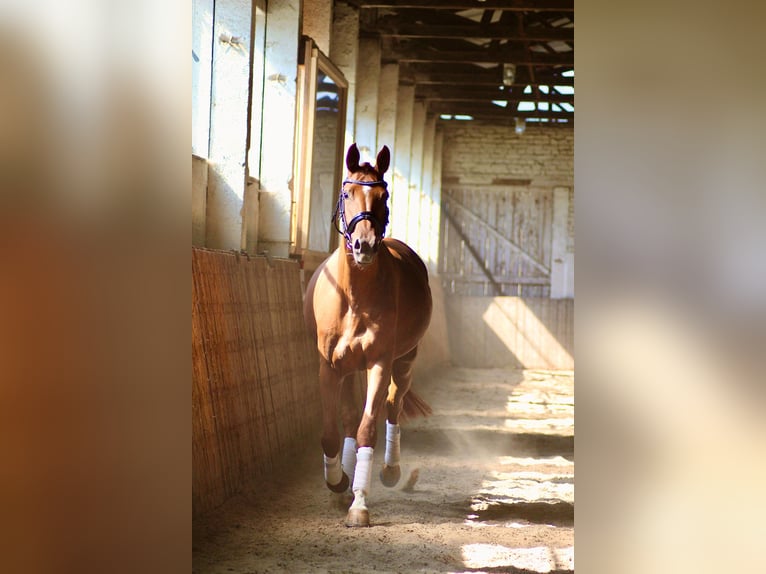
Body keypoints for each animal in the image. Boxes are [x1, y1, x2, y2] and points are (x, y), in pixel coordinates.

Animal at [304, 145, 432, 532]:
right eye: (347, 193)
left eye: (383, 196)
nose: (364, 246)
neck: (355, 296)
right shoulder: (329, 367)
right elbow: (331, 432)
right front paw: (338, 482)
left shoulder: (378, 363)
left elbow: (366, 429)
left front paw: (359, 503)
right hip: (349, 369)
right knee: (347, 418)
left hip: (404, 363)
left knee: (393, 405)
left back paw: (390, 470)